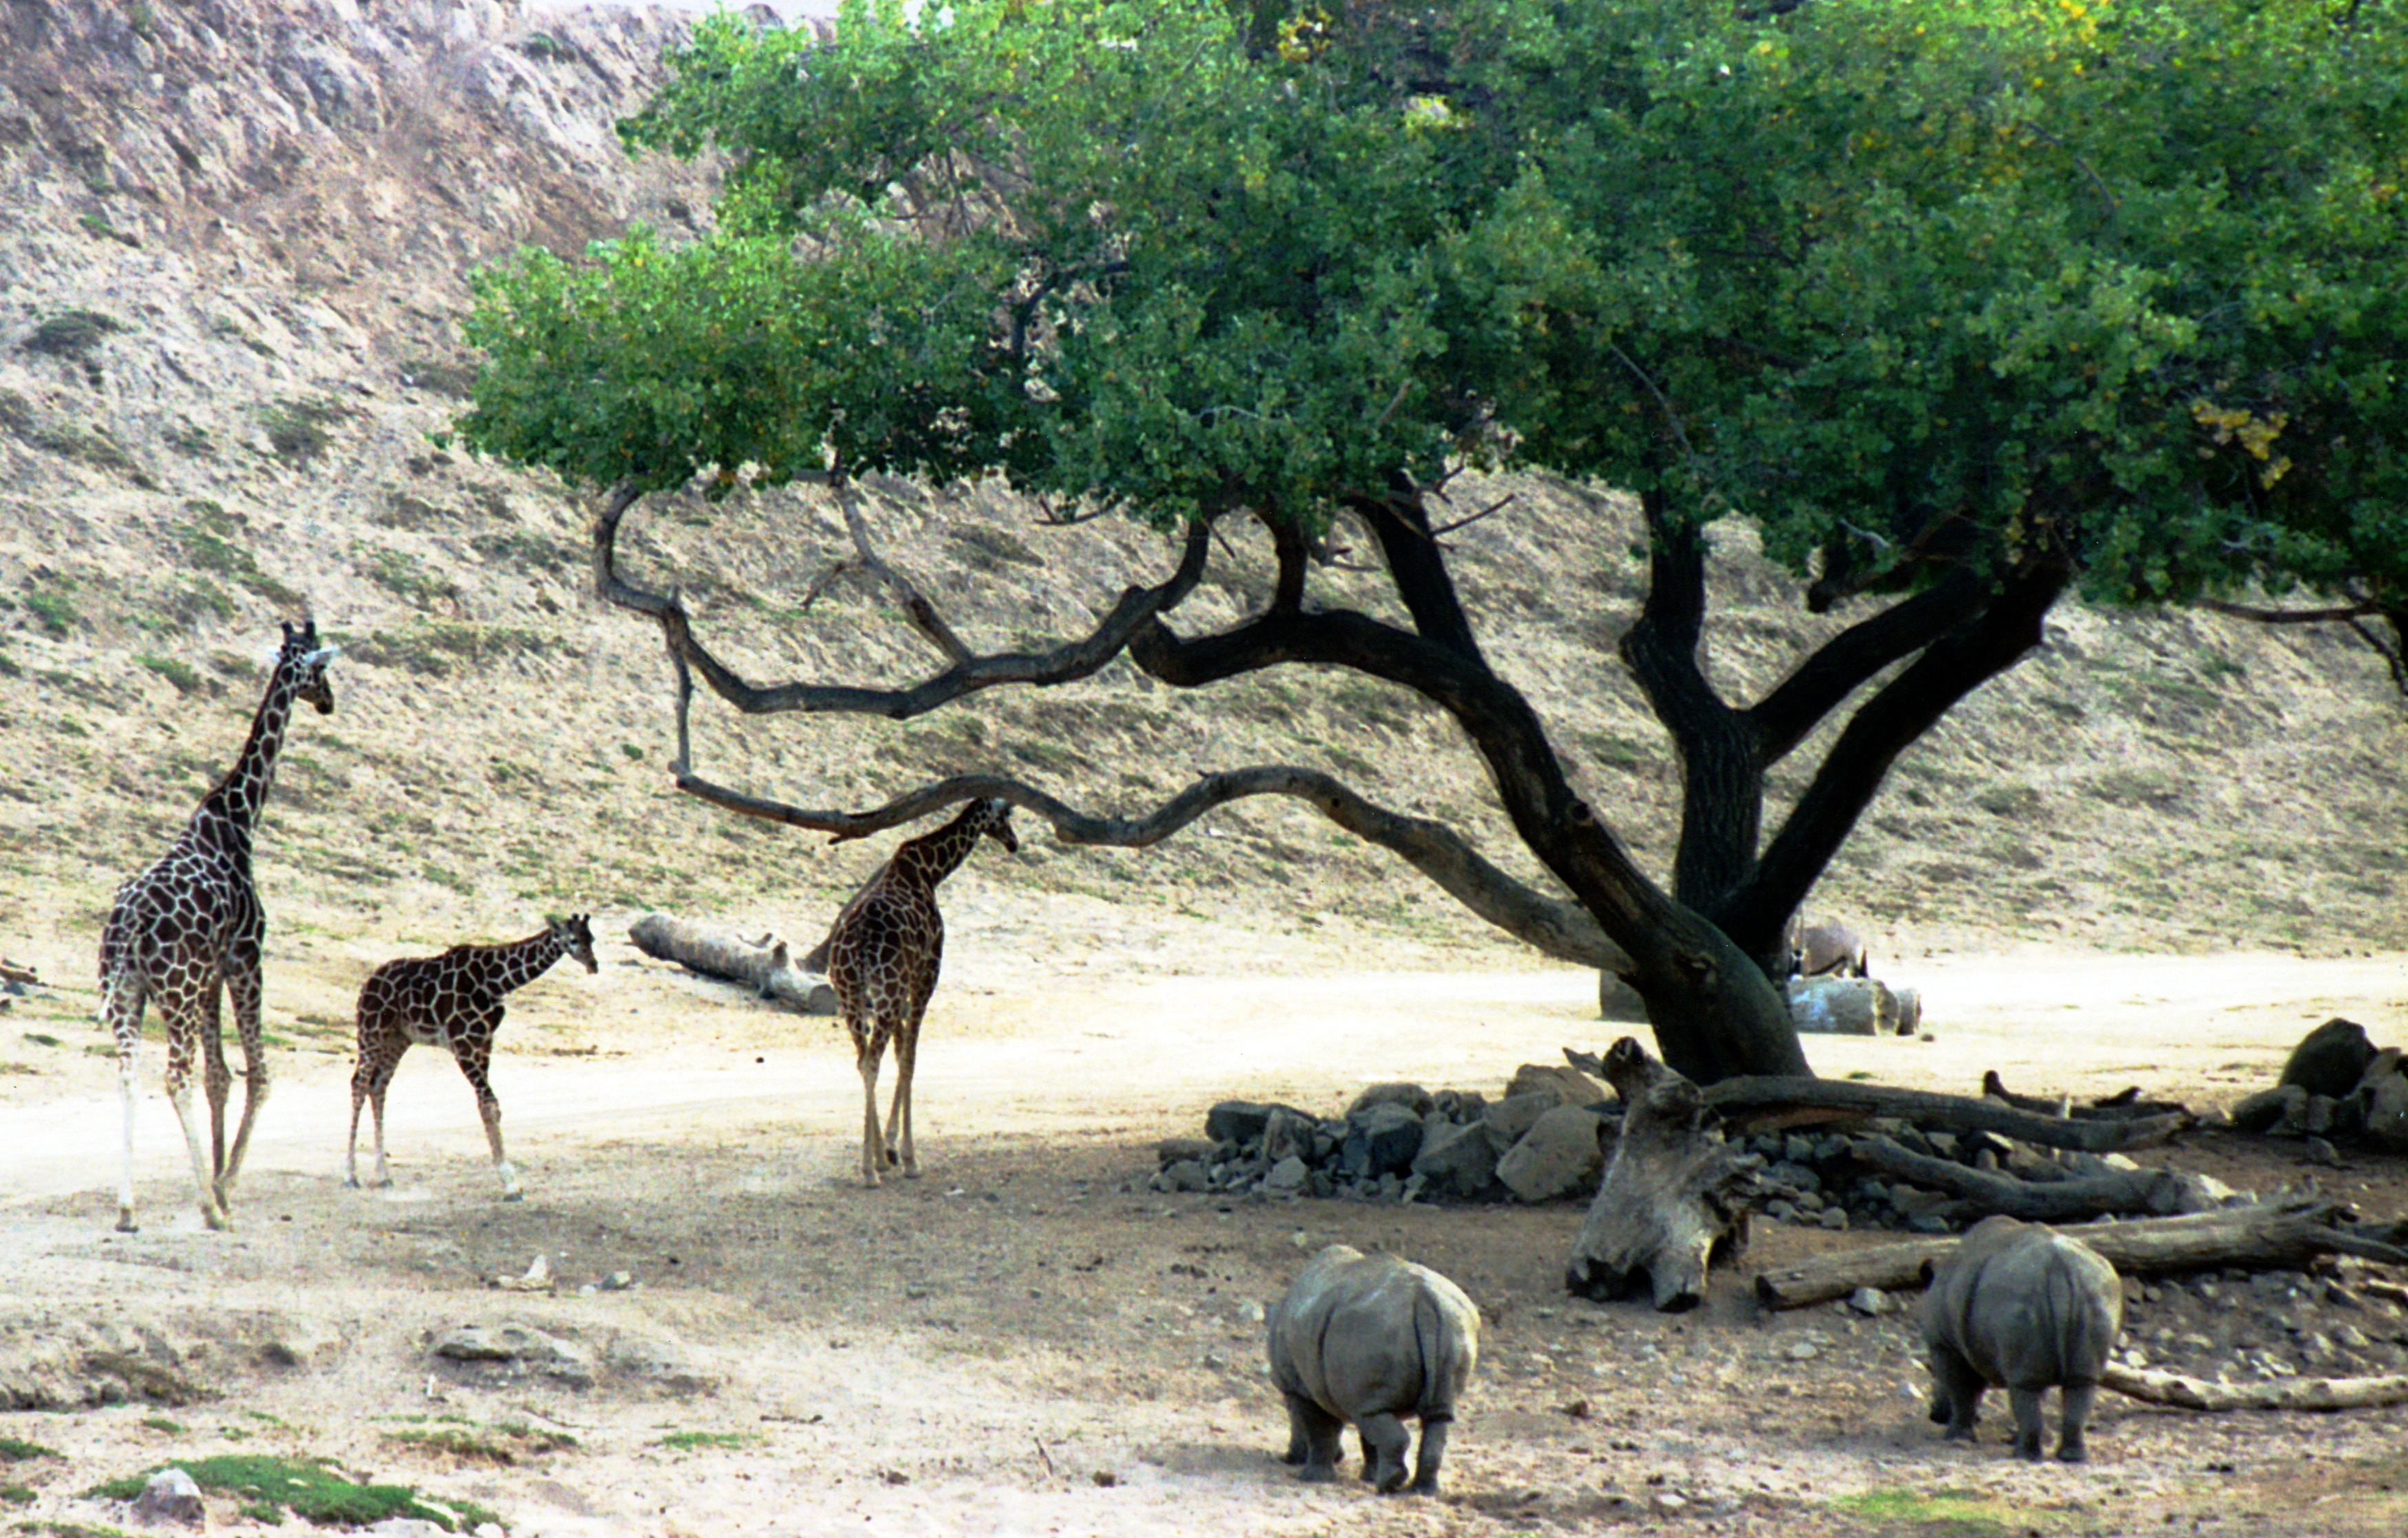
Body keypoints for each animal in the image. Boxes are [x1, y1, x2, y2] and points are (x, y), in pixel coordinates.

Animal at [100, 621, 339, 1232]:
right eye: (319, 667)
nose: (328, 701)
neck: (239, 816)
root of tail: (128, 925)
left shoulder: (209, 977)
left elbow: (221, 1078)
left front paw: (216, 1180)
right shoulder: (245, 957)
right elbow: (259, 1073)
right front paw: (223, 1187)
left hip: (130, 992)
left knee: (129, 1074)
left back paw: (128, 1209)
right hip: (176, 991)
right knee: (173, 1076)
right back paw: (208, 1210)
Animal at [344, 914, 597, 1203]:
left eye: (592, 938)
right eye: (573, 939)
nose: (594, 965)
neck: (495, 981)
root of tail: (367, 984)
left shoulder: (483, 1043)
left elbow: (488, 1106)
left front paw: (510, 1181)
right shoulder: (463, 1043)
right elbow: (489, 1105)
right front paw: (511, 1184)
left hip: (397, 1039)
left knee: (378, 1087)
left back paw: (383, 1176)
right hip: (371, 1032)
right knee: (359, 1085)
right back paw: (350, 1176)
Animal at [828, 799, 1016, 1184]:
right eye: (1006, 816)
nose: (1014, 843)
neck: (930, 870)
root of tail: (858, 944)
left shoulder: (902, 989)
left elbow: (901, 1053)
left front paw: (888, 1148)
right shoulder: (926, 975)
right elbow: (910, 1059)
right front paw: (908, 1157)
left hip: (852, 995)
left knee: (862, 1060)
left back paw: (875, 1163)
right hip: (887, 990)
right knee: (872, 1061)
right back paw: (869, 1171)